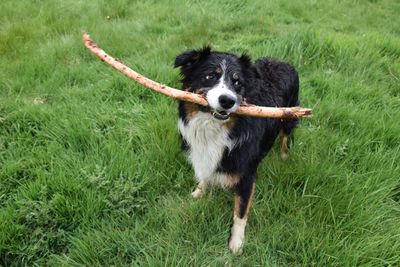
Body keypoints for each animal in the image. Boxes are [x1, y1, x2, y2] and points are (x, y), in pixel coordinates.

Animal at [175, 47, 300, 254]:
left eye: (237, 82)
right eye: (210, 76)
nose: (227, 100)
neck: (214, 127)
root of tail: (282, 61)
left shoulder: (246, 176)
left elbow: (240, 213)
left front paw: (236, 243)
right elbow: (205, 175)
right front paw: (198, 192)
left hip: (288, 117)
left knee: (284, 137)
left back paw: (284, 156)